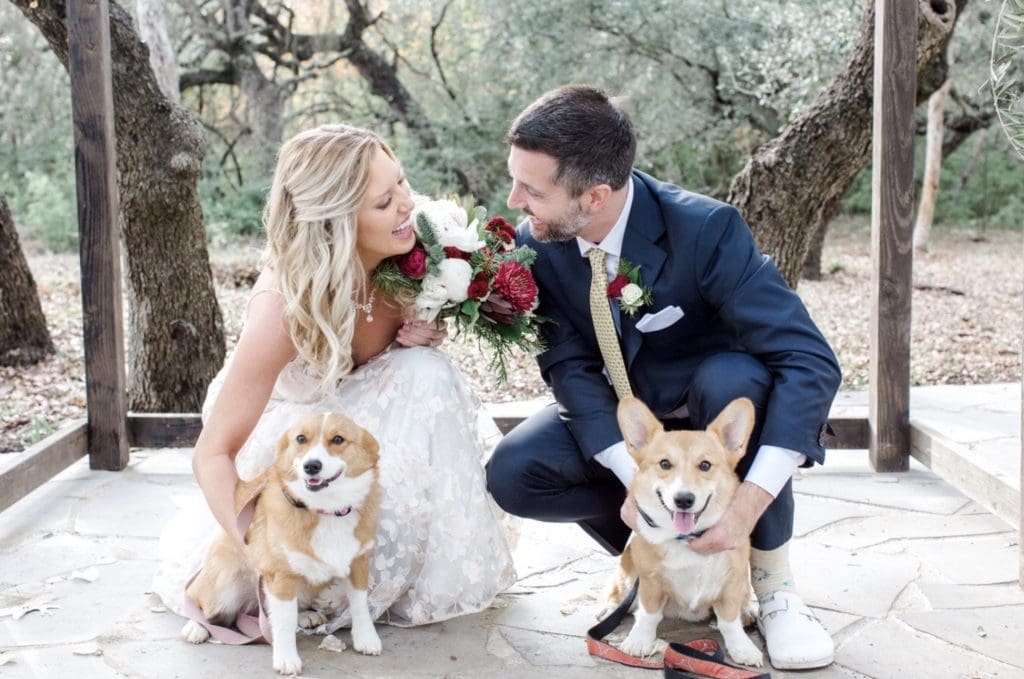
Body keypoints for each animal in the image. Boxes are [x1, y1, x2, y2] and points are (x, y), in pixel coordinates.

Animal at [182, 411, 382, 675]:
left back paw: (305, 615)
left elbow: (360, 605)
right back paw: (196, 626)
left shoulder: (359, 562)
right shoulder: (280, 575)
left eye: (338, 439)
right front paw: (286, 658)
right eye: (301, 438)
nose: (311, 466)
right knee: (199, 602)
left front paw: (366, 638)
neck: (325, 509)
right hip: (223, 583)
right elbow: (284, 623)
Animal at [602, 395, 765, 667]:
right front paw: (639, 641)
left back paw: (748, 609)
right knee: (619, 592)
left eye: (705, 465)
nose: (684, 499)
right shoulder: (650, 581)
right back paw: (609, 607)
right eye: (665, 464)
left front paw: (742, 647)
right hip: (627, 576)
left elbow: (729, 621)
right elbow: (648, 614)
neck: (685, 537)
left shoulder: (732, 581)